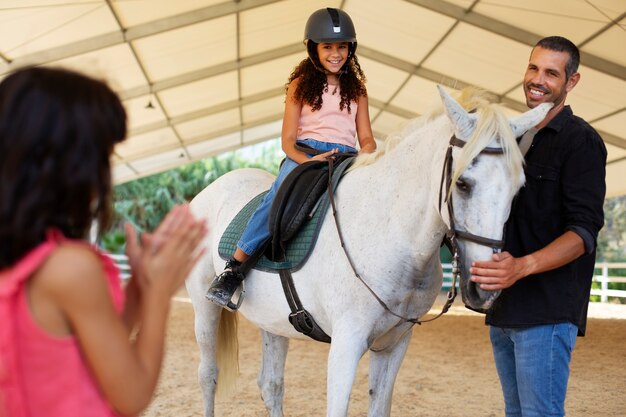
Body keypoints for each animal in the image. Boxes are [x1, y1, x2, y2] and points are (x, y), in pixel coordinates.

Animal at [185, 85, 552, 416]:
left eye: (518, 188)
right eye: (462, 184)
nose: (485, 289)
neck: (390, 232)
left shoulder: (394, 345)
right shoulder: (346, 346)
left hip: (273, 322)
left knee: (271, 385)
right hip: (205, 308)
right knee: (208, 375)